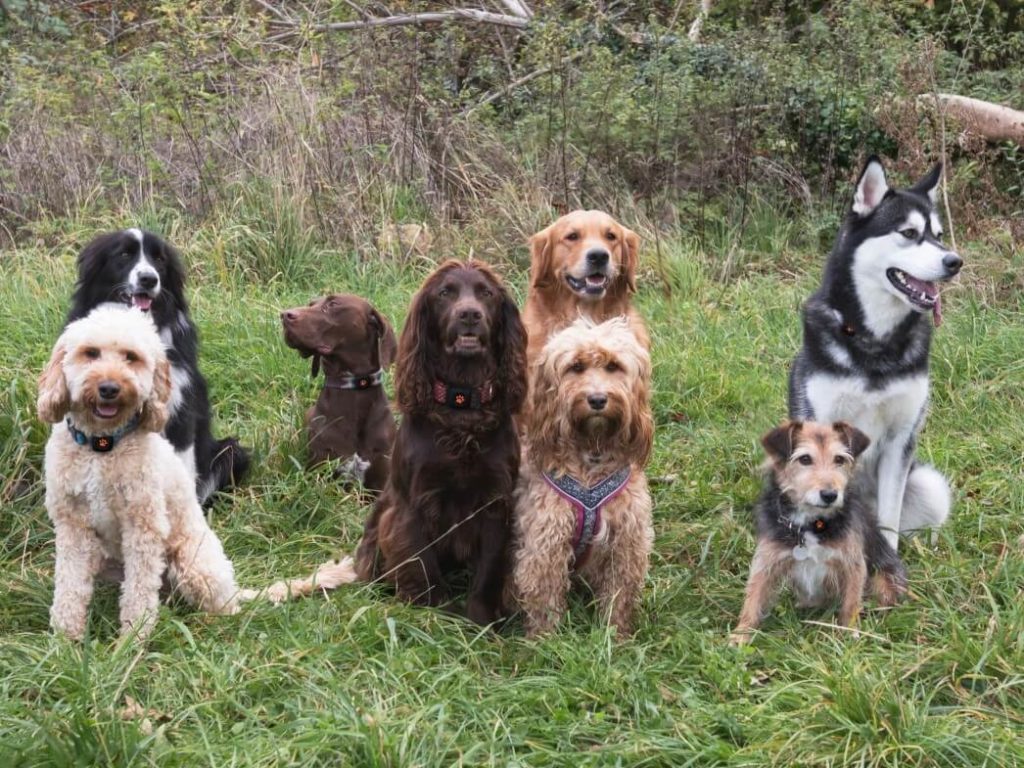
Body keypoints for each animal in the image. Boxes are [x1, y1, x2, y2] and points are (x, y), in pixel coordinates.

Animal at [733, 423, 909, 647]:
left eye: (839, 459)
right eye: (805, 459)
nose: (830, 495)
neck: (812, 524)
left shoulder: (853, 564)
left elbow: (851, 602)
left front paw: (850, 633)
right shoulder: (767, 560)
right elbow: (753, 599)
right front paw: (740, 634)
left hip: (884, 580)